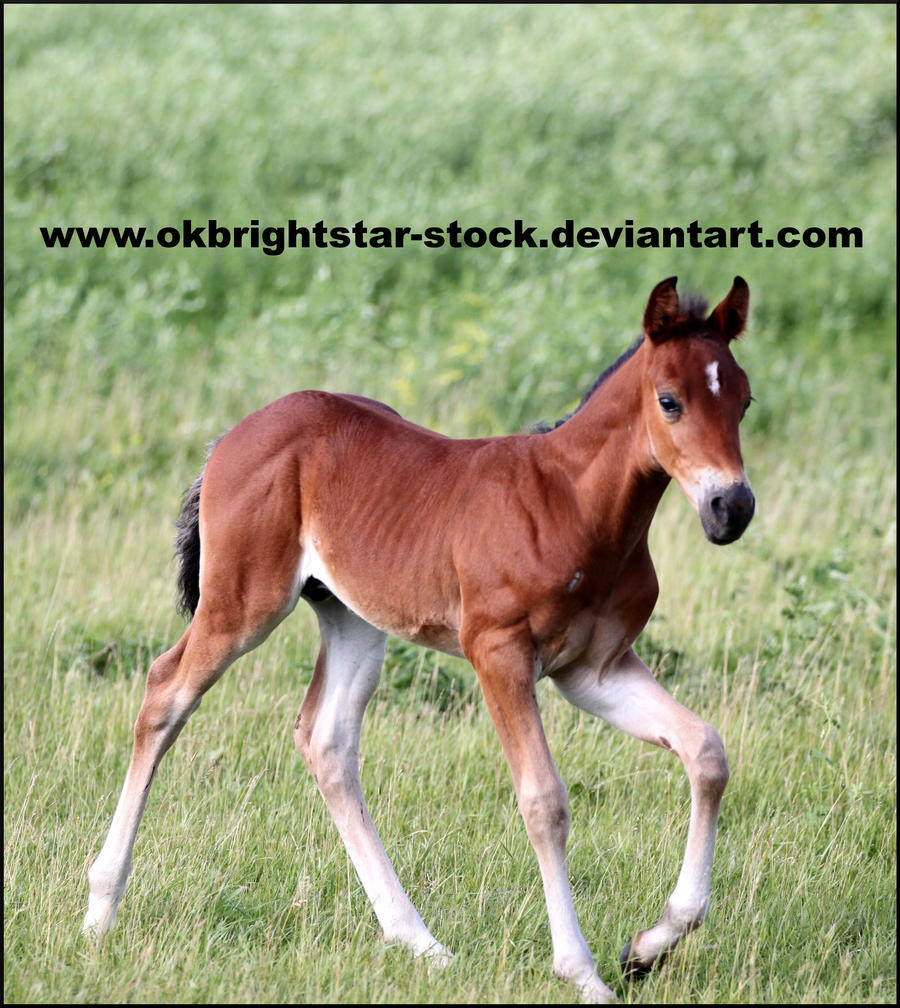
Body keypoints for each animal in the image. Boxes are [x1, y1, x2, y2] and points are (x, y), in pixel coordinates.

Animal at [84, 276, 753, 999]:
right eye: (670, 400)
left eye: (744, 400)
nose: (732, 508)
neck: (575, 506)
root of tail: (230, 437)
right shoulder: (499, 654)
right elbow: (544, 800)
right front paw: (582, 972)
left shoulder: (594, 670)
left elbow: (706, 751)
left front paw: (648, 947)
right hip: (243, 603)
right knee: (166, 691)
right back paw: (100, 909)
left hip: (353, 617)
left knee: (327, 741)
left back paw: (420, 942)